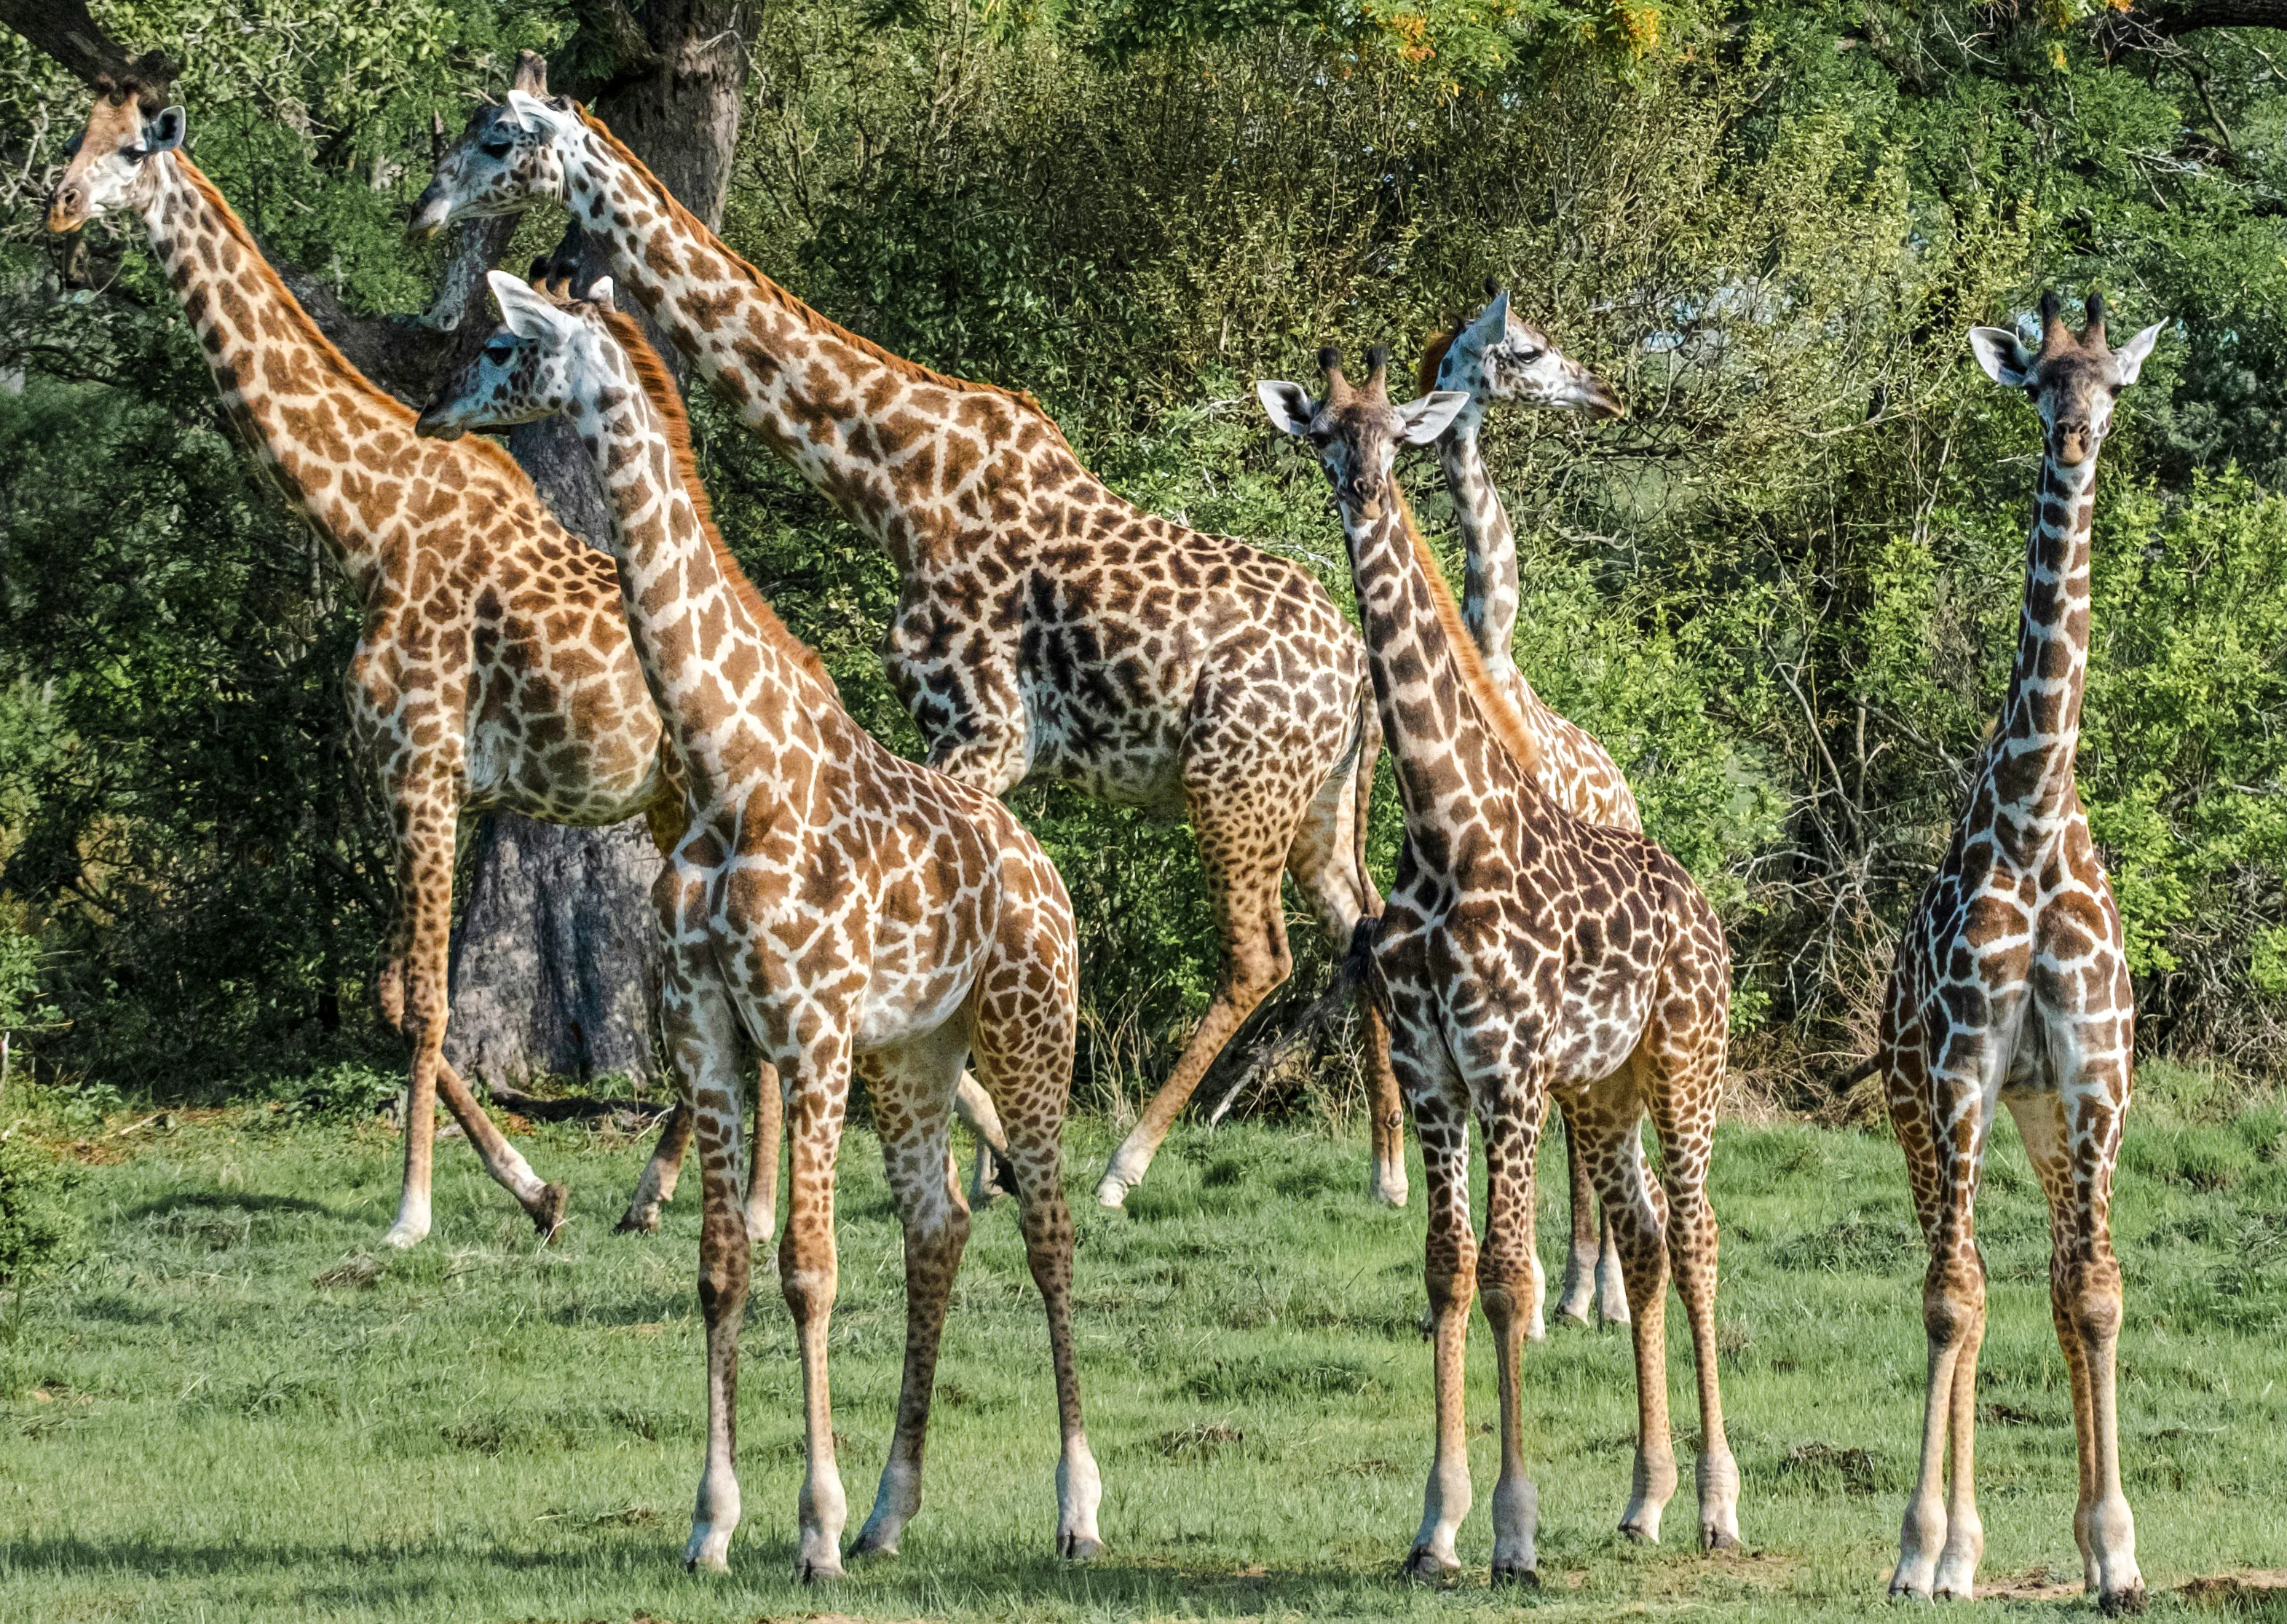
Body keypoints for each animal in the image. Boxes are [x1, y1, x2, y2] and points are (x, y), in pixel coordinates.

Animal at [42, 80, 683, 1247]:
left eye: (129, 150)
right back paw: (655, 1191)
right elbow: (392, 993)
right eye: (72, 138)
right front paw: (538, 1189)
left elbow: (430, 1000)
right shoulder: (418, 782)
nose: (57, 205)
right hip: (667, 804)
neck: (367, 523)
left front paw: (411, 1213)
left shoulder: (422, 769)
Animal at [408, 88, 1411, 1211]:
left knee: (1257, 956)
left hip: (1232, 784)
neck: (894, 477)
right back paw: (1388, 1170)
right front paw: (971, 1161)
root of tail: (1355, 678)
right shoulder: (971, 741)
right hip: (1317, 801)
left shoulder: (985, 727)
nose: (423, 212)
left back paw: (1125, 1165)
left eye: (496, 140)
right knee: (1361, 923)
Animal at [416, 270, 1101, 1578]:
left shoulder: (810, 1033)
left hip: (1026, 1024)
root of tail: (1046, 869)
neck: (733, 768)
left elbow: (810, 1269)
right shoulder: (710, 1034)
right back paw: (894, 1508)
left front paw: (812, 1529)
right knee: (938, 1224)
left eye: (504, 342)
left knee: (1047, 1227)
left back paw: (1074, 1508)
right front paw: (714, 1522)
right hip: (916, 1050)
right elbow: (723, 1266)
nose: (429, 410)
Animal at [1258, 347, 1739, 1580]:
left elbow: (1510, 1276)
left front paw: (1514, 1529)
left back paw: (1718, 1503)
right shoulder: (1434, 1072)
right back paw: (1644, 1499)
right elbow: (1447, 1269)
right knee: (1647, 1238)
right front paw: (1435, 1525)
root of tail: (1703, 906)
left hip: (1685, 1062)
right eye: (1323, 434)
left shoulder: (1508, 1069)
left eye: (1395, 431)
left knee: (1700, 1239)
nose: (1362, 487)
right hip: (1606, 1090)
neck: (1445, 827)